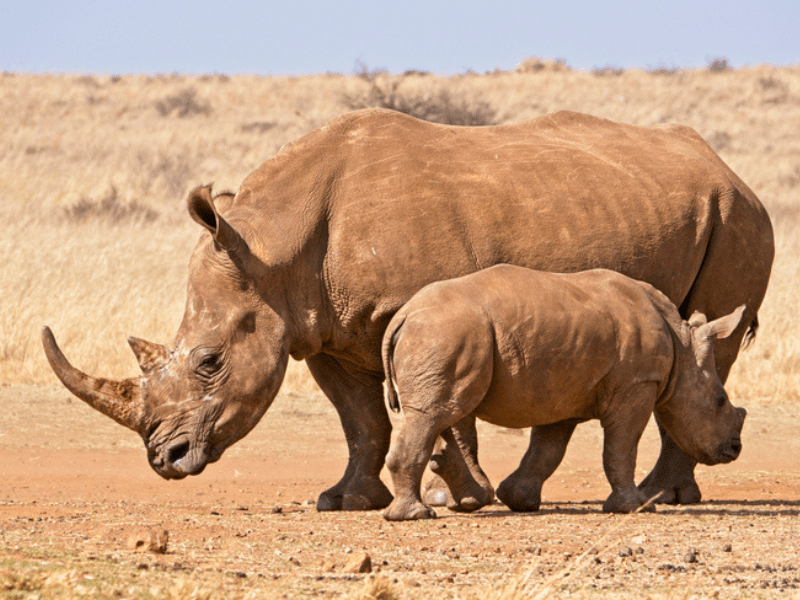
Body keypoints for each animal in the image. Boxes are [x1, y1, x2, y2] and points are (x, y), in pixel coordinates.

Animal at [381, 265, 747, 520]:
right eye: (720, 402)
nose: (735, 448)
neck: (682, 351)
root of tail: (404, 313)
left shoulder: (563, 387)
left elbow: (548, 449)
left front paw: (519, 499)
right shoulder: (638, 383)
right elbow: (622, 447)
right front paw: (635, 508)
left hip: (453, 336)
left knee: (449, 410)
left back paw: (469, 501)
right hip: (446, 332)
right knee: (432, 415)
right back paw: (415, 516)